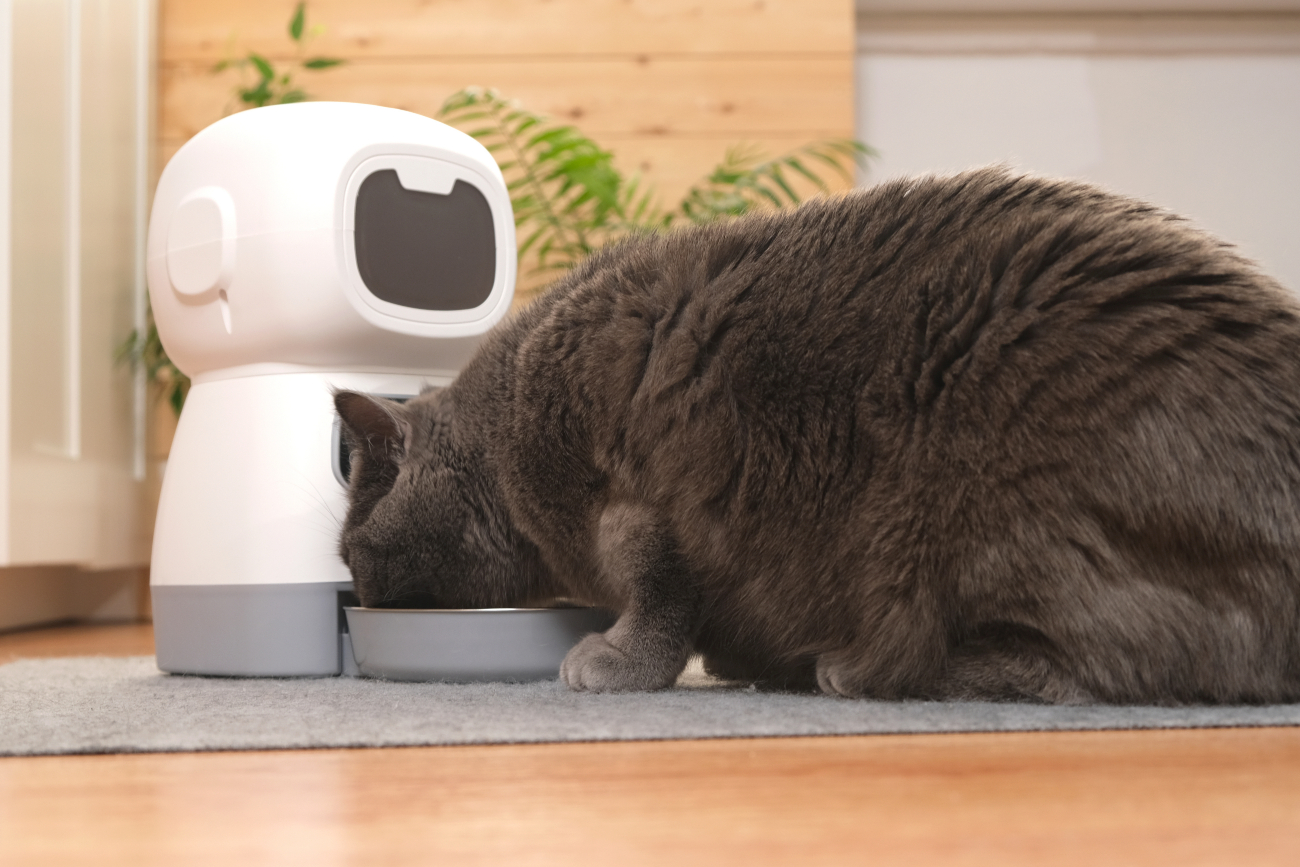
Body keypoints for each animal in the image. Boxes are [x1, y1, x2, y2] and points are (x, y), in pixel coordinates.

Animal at [332, 167, 1300, 707]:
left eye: (351, 550)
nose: (352, 592)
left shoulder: (629, 502)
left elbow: (658, 589)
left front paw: (615, 661)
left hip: (969, 516)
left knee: (1086, 668)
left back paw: (858, 670)